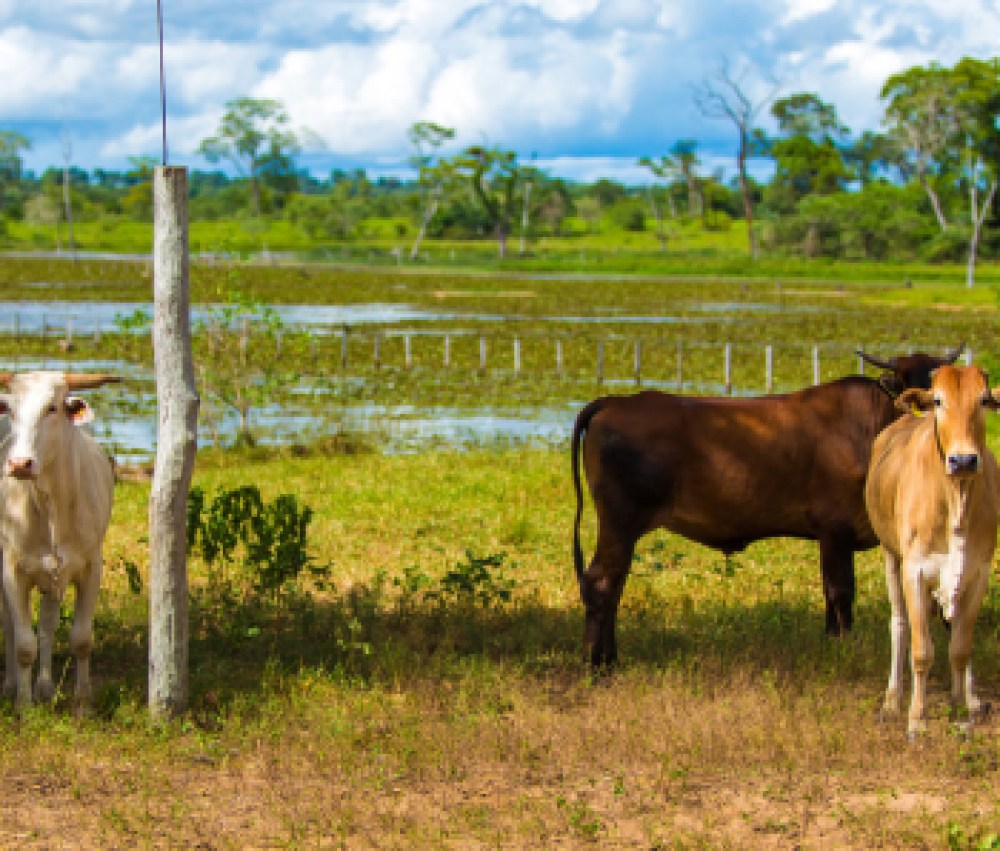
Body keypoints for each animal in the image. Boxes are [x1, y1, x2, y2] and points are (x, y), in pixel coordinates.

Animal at [0, 372, 119, 712]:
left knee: (47, 624)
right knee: (9, 627)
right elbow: (23, 644)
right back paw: (12, 685)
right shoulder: (12, 570)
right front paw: (23, 706)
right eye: (10, 409)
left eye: (51, 407)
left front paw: (82, 702)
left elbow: (80, 638)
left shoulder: (91, 568)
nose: (19, 464)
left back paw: (44, 687)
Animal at [576, 344, 964, 664]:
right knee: (602, 582)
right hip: (619, 520)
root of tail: (616, 401)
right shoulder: (835, 529)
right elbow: (840, 592)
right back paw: (599, 662)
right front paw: (842, 647)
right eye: (913, 387)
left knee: (613, 582)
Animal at [864, 366, 996, 740]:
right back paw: (892, 701)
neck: (955, 498)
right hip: (891, 557)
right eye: (938, 400)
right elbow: (922, 651)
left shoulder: (977, 573)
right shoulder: (915, 570)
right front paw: (917, 721)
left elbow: (960, 649)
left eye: (984, 400)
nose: (964, 459)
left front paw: (961, 710)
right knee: (899, 625)